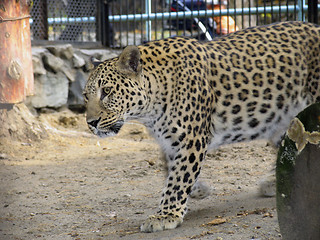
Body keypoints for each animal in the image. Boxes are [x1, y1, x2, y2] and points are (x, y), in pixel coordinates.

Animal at [83, 21, 320, 232]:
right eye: (86, 96)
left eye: (107, 91)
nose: (91, 123)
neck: (149, 109)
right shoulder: (171, 142)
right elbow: (170, 169)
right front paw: (199, 190)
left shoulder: (192, 139)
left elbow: (179, 177)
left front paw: (165, 215)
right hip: (282, 119)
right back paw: (273, 183)